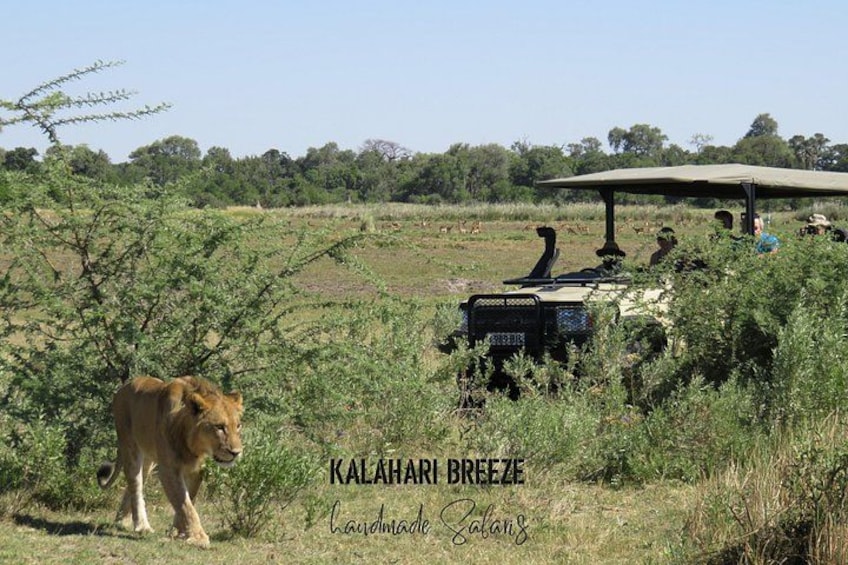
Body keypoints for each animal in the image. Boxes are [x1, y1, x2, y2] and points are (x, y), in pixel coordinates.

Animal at [96, 375, 243, 548]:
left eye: (238, 426)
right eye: (219, 427)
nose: (236, 453)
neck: (192, 444)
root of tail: (123, 387)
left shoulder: (196, 471)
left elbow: (188, 501)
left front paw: (178, 532)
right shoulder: (168, 469)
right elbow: (184, 503)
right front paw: (198, 537)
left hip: (148, 460)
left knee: (133, 487)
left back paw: (122, 521)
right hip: (130, 447)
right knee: (136, 486)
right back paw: (142, 526)